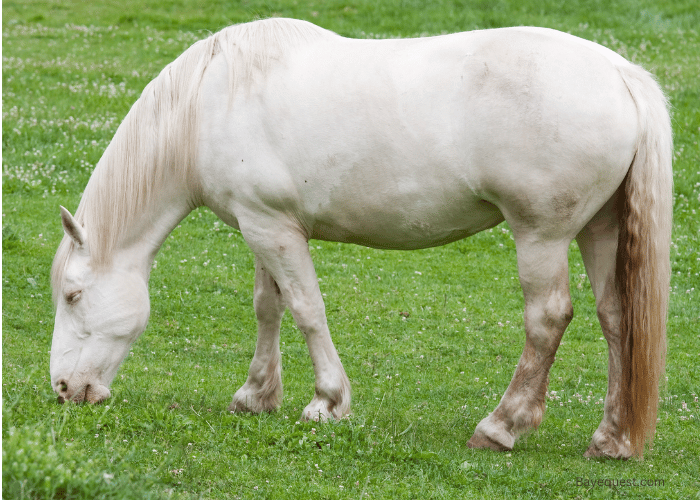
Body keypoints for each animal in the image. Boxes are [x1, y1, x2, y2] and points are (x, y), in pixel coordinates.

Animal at [50, 18, 672, 458]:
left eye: (74, 295)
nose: (63, 389)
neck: (212, 100)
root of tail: (620, 74)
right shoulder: (262, 226)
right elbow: (268, 306)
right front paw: (256, 396)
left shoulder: (273, 229)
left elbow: (306, 309)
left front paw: (327, 401)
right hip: (599, 230)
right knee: (616, 318)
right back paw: (611, 438)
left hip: (541, 236)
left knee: (547, 319)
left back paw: (501, 426)